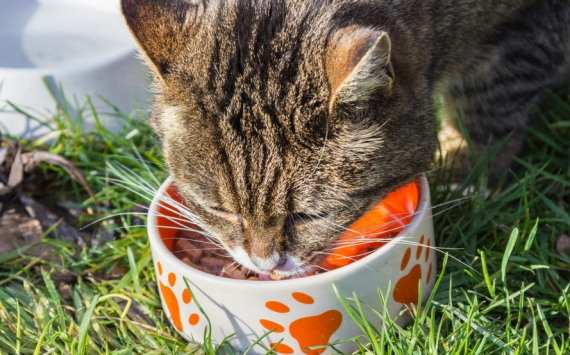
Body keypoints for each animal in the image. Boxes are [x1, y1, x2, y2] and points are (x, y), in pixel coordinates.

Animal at [120, 0, 568, 278]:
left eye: (309, 215)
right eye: (218, 209)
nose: (265, 265)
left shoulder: (527, 28)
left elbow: (489, 106)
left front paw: (469, 174)